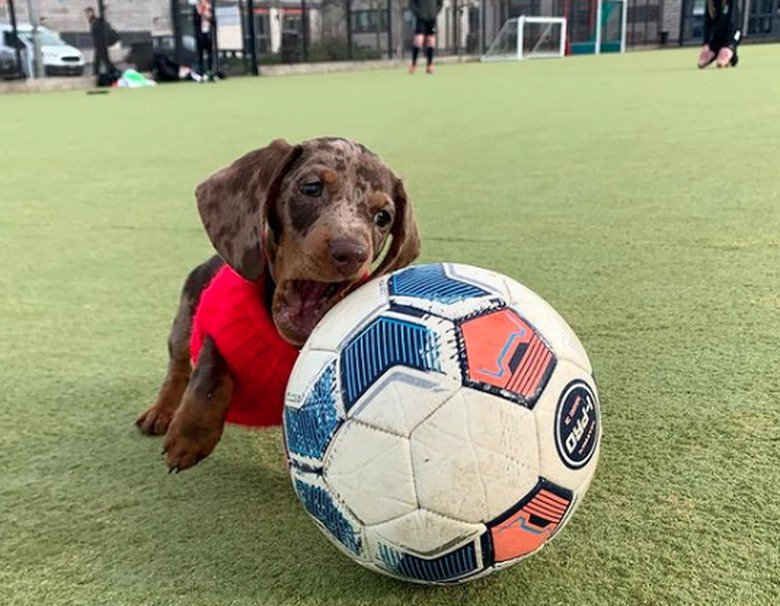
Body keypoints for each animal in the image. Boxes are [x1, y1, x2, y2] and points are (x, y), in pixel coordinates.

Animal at [137, 139, 424, 476]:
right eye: (311, 187)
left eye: (383, 217)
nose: (352, 253)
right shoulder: (219, 326)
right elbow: (210, 374)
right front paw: (189, 436)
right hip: (185, 318)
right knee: (178, 367)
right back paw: (160, 411)